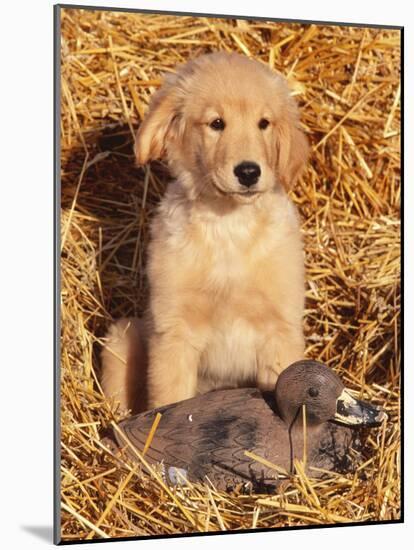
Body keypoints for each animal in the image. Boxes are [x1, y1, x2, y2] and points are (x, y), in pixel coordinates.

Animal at [100, 52, 308, 414]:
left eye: (263, 123)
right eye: (216, 123)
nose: (249, 172)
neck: (229, 225)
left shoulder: (280, 330)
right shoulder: (174, 332)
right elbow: (171, 399)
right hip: (122, 335)